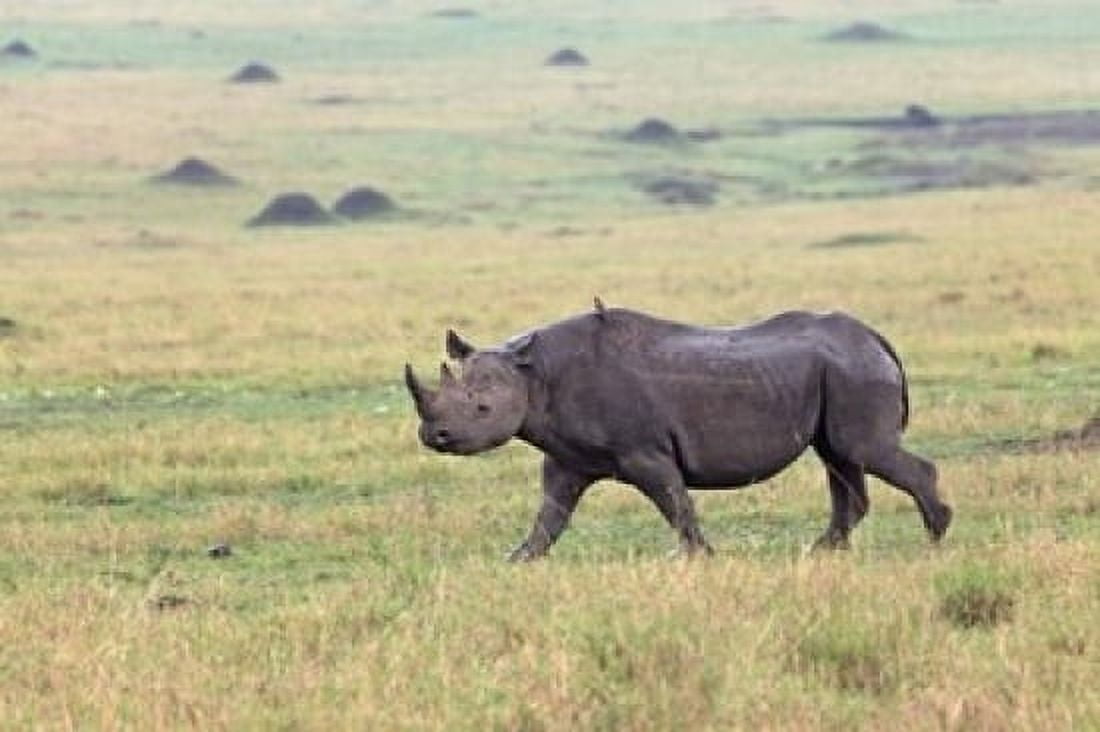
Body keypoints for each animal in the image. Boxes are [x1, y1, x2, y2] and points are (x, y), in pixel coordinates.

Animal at [405, 300, 952, 560]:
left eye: (481, 408)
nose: (435, 438)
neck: (533, 373)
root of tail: (875, 337)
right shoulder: (567, 457)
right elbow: (551, 514)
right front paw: (517, 559)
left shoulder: (643, 451)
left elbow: (674, 502)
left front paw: (696, 557)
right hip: (840, 372)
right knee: (840, 458)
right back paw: (822, 551)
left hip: (853, 371)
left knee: (864, 450)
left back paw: (935, 537)